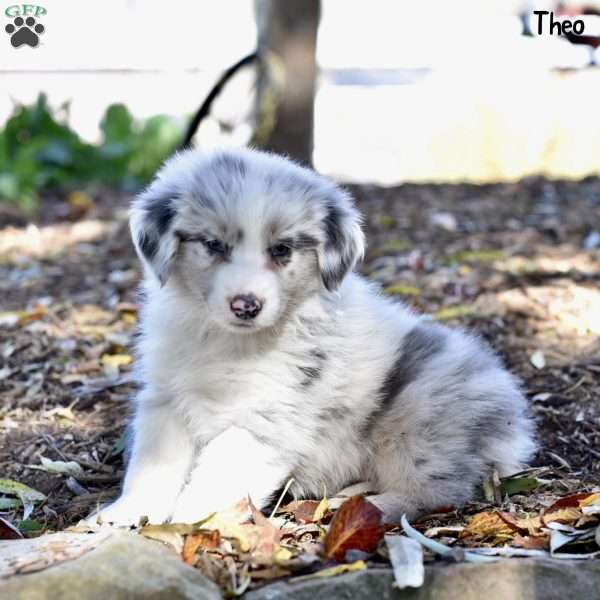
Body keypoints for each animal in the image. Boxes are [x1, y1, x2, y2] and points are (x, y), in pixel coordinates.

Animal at [97, 148, 536, 524]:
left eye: (282, 250)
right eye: (213, 245)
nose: (246, 305)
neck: (228, 342)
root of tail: (514, 425)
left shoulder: (265, 419)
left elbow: (217, 477)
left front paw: (189, 523)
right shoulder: (165, 401)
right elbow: (152, 467)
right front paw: (126, 514)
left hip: (419, 419)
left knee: (436, 491)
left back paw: (366, 508)